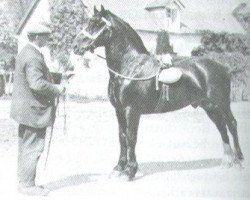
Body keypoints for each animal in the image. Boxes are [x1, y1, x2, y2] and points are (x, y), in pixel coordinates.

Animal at [73, 5, 244, 181]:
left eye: (97, 23)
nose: (76, 46)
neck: (130, 66)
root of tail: (223, 67)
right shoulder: (119, 110)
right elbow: (122, 137)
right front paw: (118, 168)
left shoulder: (131, 110)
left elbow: (131, 138)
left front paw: (130, 171)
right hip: (210, 107)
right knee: (221, 127)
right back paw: (227, 161)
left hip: (222, 104)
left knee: (231, 124)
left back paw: (239, 160)